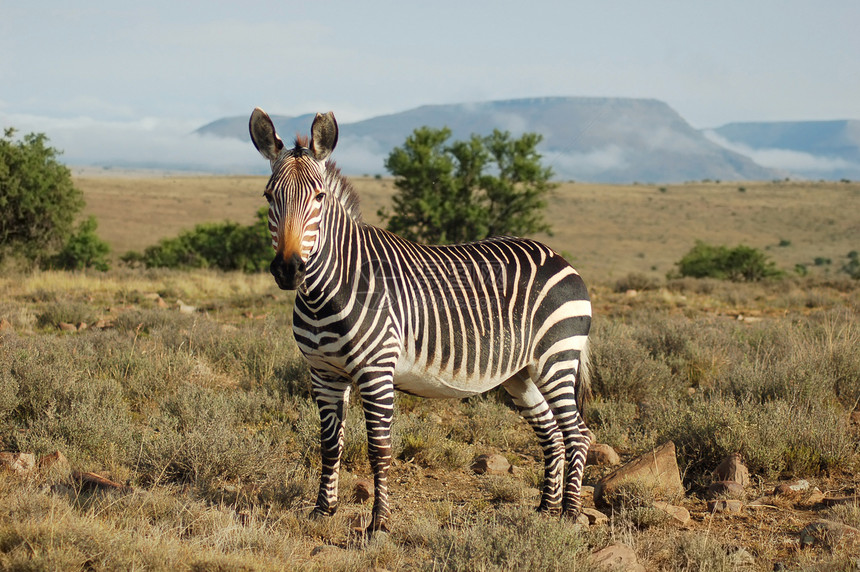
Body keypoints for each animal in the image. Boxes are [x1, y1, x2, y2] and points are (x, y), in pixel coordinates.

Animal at [249, 106, 592, 532]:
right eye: (269, 196)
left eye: (319, 196)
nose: (288, 269)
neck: (323, 295)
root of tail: (559, 257)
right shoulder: (323, 373)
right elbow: (329, 445)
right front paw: (322, 510)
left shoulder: (376, 371)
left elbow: (379, 449)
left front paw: (379, 523)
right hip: (521, 373)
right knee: (552, 434)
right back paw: (546, 510)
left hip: (556, 357)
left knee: (577, 434)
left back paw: (570, 515)